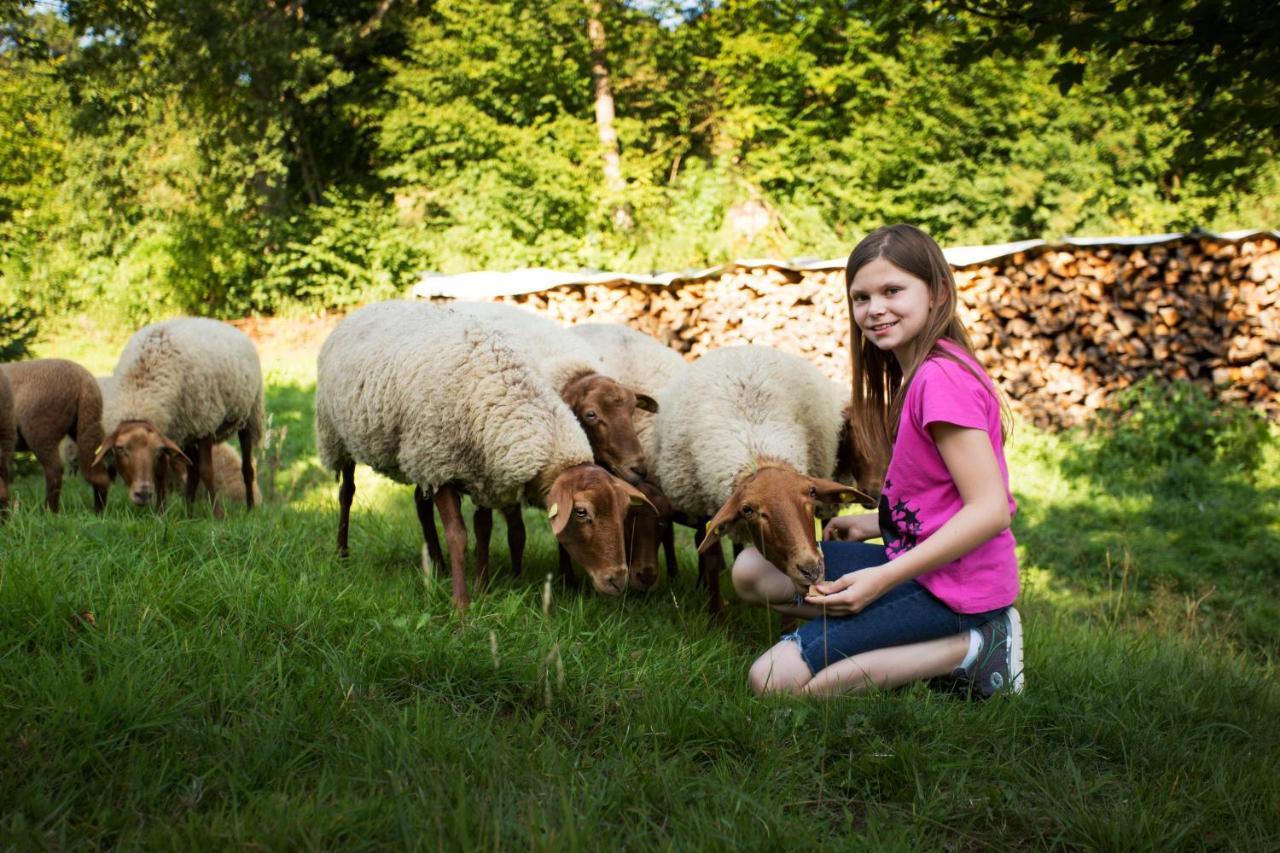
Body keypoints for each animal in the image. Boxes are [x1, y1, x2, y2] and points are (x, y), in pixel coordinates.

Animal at [95, 312, 267, 512]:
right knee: (192, 471)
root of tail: (226, 325)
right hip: (187, 429)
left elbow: (207, 471)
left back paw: (250, 509)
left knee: (247, 468)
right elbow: (162, 473)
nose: (143, 494)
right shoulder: (169, 431)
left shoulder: (205, 423)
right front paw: (160, 512)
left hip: (247, 415)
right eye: (120, 449)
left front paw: (218, 514)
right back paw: (188, 512)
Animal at [316, 298, 655, 612]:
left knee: (420, 505)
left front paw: (483, 586)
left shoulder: (483, 473)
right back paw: (342, 553)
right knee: (347, 493)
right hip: (338, 436)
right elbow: (459, 535)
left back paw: (437, 565)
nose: (617, 579)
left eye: (624, 511)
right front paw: (463, 605)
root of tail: (367, 307)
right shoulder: (441, 465)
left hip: (414, 455)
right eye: (582, 512)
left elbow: (484, 530)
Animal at [650, 343, 870, 612]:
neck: (755, 443)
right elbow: (709, 556)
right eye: (748, 510)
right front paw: (716, 615)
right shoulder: (703, 506)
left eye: (812, 493)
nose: (811, 569)